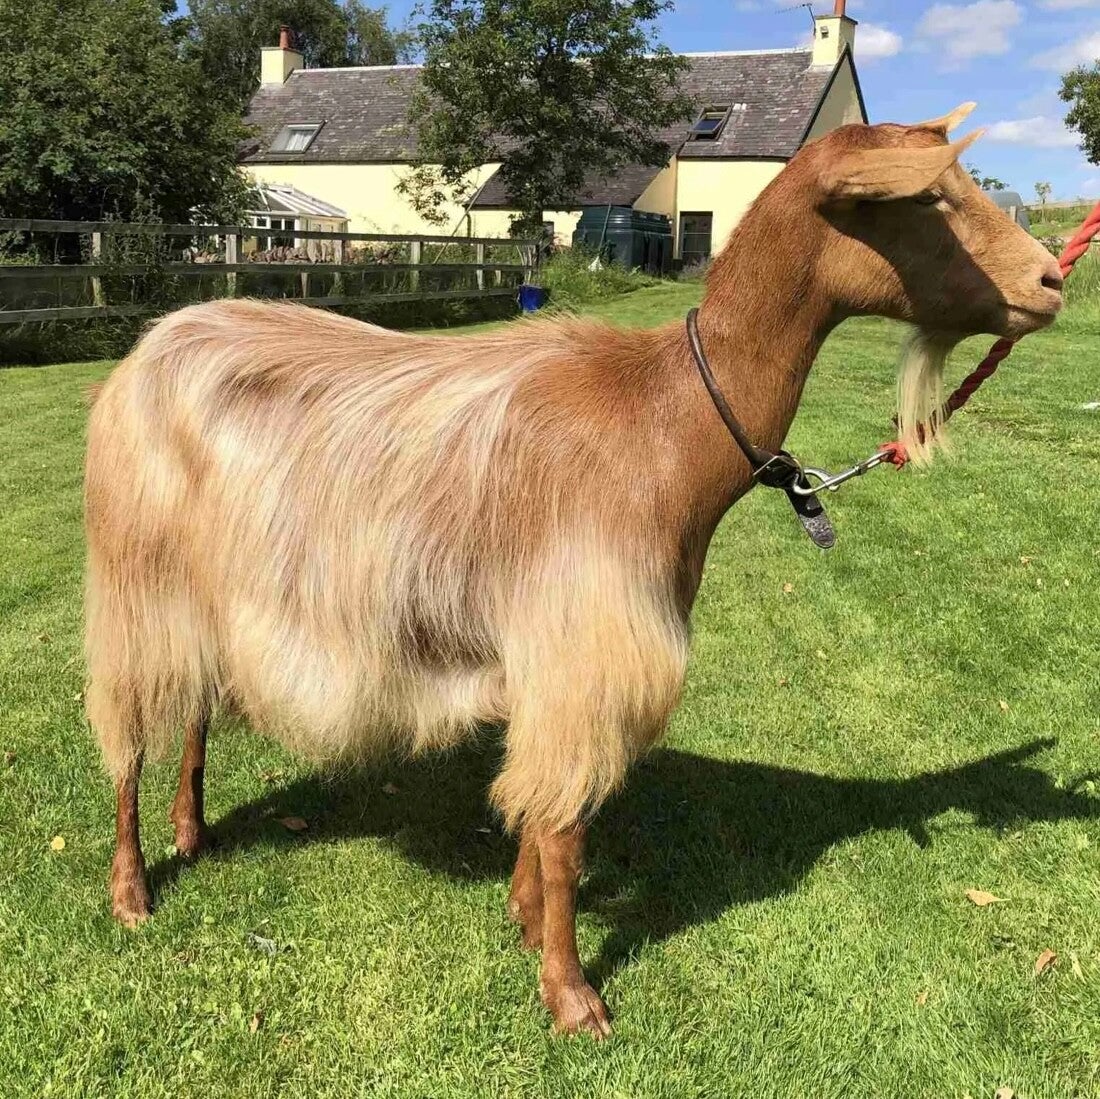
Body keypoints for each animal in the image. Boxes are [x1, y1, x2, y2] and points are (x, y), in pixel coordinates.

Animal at [85, 107, 1063, 1037]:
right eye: (927, 197)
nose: (1052, 281)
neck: (665, 421)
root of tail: (149, 347)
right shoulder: (582, 647)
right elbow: (565, 830)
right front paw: (571, 993)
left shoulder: (558, 660)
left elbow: (544, 814)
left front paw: (522, 918)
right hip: (134, 573)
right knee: (128, 726)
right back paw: (131, 890)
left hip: (210, 585)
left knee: (197, 699)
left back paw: (192, 830)